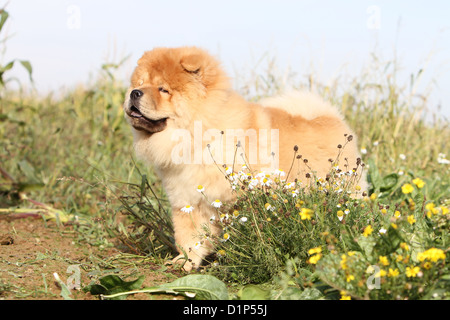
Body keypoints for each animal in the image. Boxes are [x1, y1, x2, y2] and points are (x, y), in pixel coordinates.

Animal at [123, 46, 366, 272]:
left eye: (163, 89)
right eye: (140, 83)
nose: (134, 93)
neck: (198, 137)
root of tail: (331, 117)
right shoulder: (187, 201)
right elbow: (190, 238)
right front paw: (185, 263)